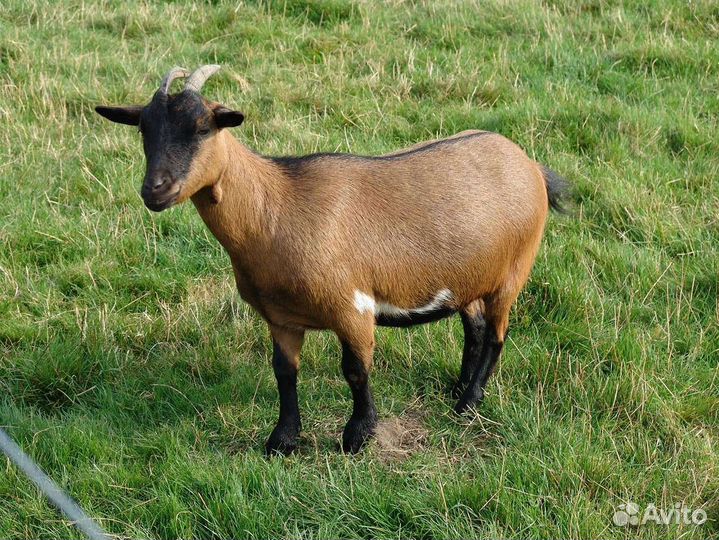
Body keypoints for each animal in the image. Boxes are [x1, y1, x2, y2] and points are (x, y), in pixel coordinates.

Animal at [95, 65, 567, 455]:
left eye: (202, 127)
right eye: (143, 128)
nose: (155, 190)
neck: (277, 209)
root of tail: (531, 166)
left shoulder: (352, 308)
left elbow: (355, 370)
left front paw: (357, 437)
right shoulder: (280, 317)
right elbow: (284, 372)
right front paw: (282, 440)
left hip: (514, 271)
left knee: (497, 336)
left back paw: (468, 403)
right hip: (470, 274)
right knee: (475, 325)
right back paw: (458, 388)